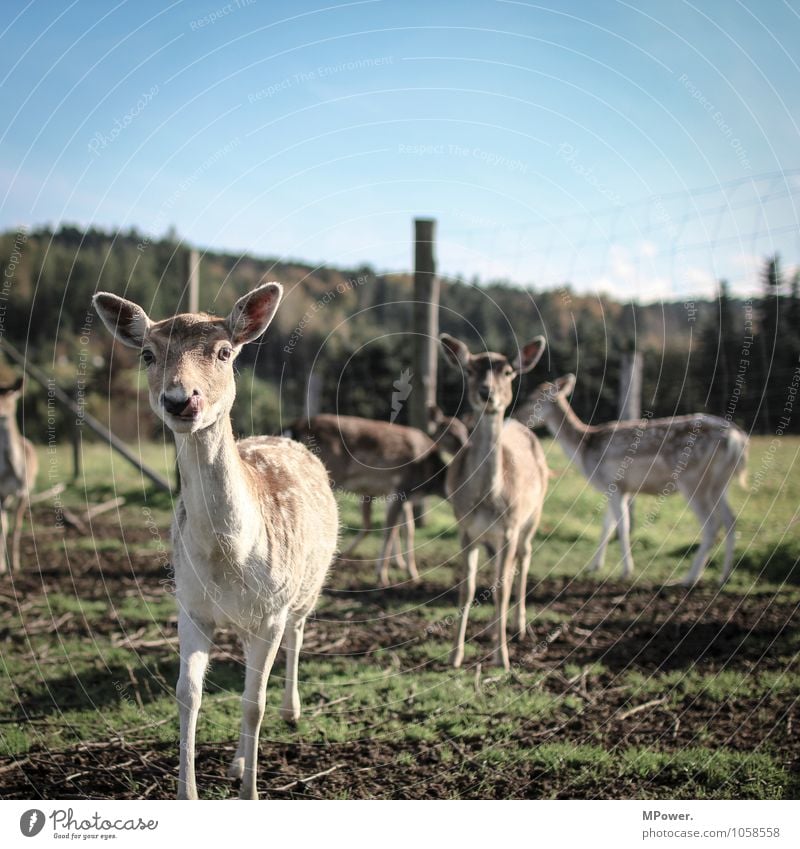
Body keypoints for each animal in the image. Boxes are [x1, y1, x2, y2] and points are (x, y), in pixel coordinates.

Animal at [94, 286, 338, 800]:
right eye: (147, 354)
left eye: (224, 352)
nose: (180, 399)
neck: (229, 556)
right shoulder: (189, 605)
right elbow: (188, 694)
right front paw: (188, 791)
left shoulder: (270, 611)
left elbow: (252, 702)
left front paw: (251, 793)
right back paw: (236, 762)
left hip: (307, 586)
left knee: (297, 634)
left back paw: (291, 712)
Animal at [288, 410, 468, 584]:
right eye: (451, 432)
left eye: (464, 429)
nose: (465, 444)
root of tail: (293, 426)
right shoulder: (399, 489)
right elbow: (389, 530)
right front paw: (382, 576)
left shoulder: (404, 496)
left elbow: (408, 529)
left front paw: (413, 574)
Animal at [438, 332, 552, 668]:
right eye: (469, 370)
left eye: (508, 372)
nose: (486, 392)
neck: (488, 499)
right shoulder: (465, 529)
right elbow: (467, 588)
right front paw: (455, 656)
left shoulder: (510, 528)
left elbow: (502, 589)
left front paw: (502, 660)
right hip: (492, 537)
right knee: (501, 572)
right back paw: (491, 630)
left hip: (534, 513)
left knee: (523, 559)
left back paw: (519, 627)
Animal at [520, 374, 752, 588]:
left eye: (533, 399)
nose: (516, 416)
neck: (584, 450)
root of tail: (736, 439)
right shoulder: (617, 488)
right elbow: (607, 526)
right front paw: (594, 567)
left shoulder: (613, 485)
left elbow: (622, 526)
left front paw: (625, 572)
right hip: (720, 484)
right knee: (731, 520)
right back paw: (724, 577)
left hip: (693, 480)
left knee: (712, 524)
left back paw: (688, 578)